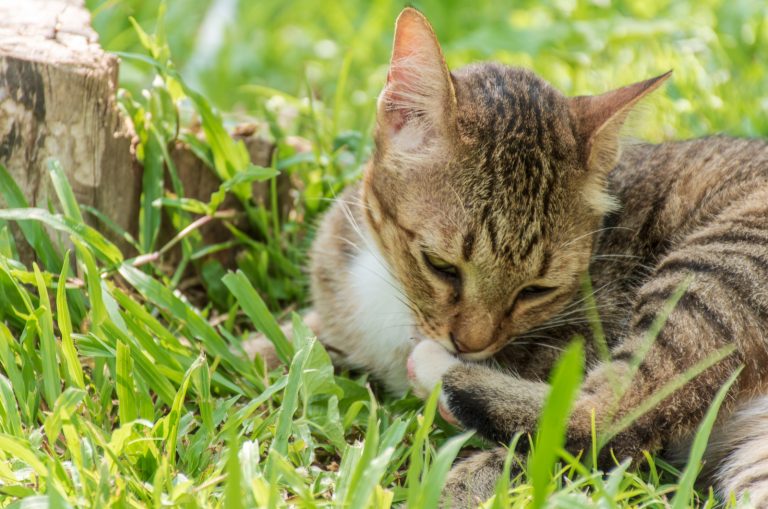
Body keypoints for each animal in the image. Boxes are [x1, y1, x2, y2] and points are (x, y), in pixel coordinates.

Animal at [246, 6, 768, 504]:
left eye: (537, 290)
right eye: (441, 266)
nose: (470, 345)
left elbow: (567, 452)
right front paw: (264, 345)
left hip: (717, 269)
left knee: (615, 412)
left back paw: (441, 378)